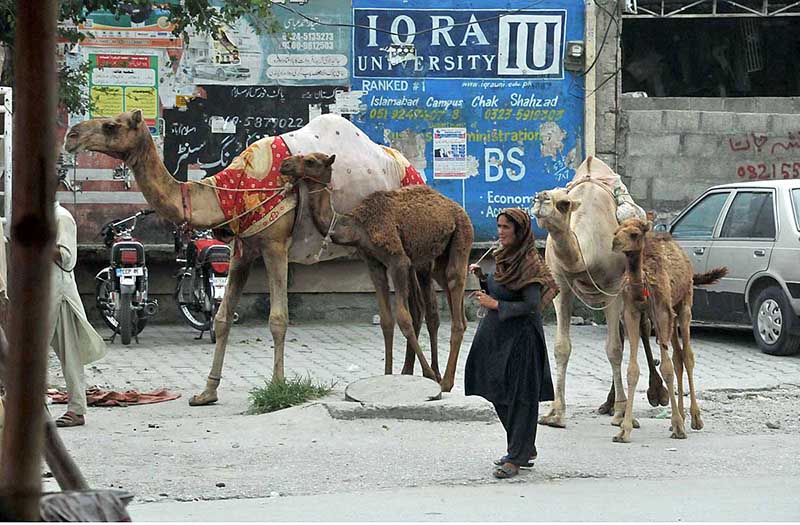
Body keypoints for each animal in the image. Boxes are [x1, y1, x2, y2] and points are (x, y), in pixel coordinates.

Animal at [66, 109, 428, 406]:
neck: (231, 191)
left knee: (414, 307)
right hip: (370, 253)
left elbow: (278, 319)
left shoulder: (275, 245)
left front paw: (278, 387)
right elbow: (223, 317)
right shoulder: (243, 249)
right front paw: (207, 392)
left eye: (111, 125)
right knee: (394, 314)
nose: (72, 135)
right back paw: (396, 377)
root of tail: (412, 171)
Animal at [280, 151, 476, 388]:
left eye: (310, 161)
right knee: (444, 306)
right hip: (435, 259)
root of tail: (458, 209)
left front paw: (428, 374)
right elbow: (386, 320)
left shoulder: (398, 261)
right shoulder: (374, 264)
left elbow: (404, 319)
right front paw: (388, 375)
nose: (284, 164)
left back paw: (445, 381)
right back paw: (435, 375)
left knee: (454, 297)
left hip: (461, 238)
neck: (357, 227)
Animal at [536, 158, 672, 428]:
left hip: (635, 287)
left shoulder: (613, 289)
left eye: (563, 203)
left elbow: (614, 350)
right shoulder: (561, 286)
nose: (540, 198)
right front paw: (555, 413)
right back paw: (608, 403)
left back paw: (656, 394)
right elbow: (561, 347)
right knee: (622, 330)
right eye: (540, 195)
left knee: (641, 328)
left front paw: (621, 413)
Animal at [608, 217, 728, 442]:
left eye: (634, 234)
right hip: (671, 318)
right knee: (678, 356)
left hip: (684, 305)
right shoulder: (632, 313)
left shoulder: (662, 312)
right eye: (616, 231)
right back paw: (680, 416)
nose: (615, 243)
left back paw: (694, 419)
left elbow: (666, 368)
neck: (642, 287)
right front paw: (624, 430)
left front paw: (679, 427)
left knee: (687, 356)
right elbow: (633, 370)